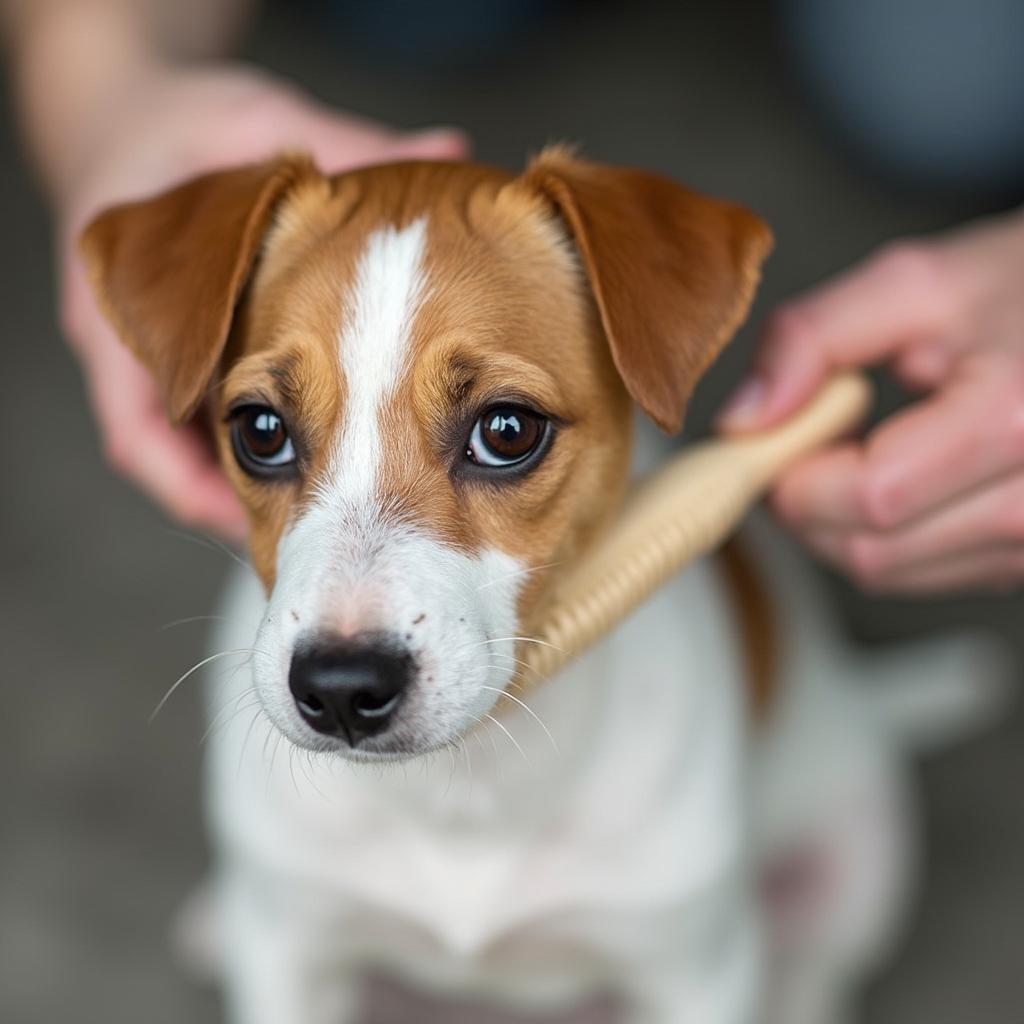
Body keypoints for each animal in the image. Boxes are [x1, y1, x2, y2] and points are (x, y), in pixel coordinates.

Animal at [81, 151, 1007, 1024]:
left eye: (507, 430)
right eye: (260, 431)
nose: (341, 689)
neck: (467, 792)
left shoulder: (692, 973)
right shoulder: (294, 956)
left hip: (860, 857)